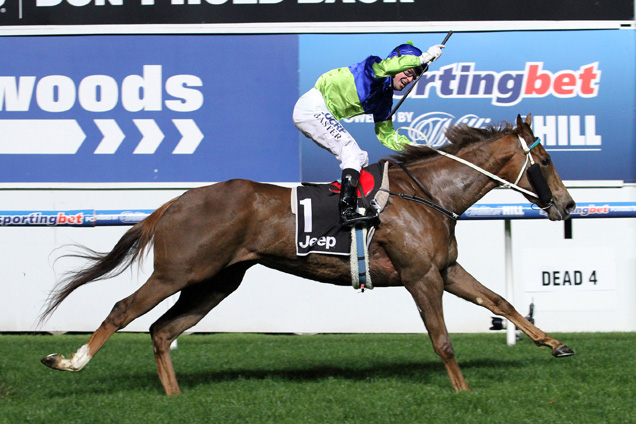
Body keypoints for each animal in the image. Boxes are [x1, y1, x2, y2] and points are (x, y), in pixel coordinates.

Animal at [39, 113, 576, 394]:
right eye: (546, 160)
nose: (569, 206)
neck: (429, 193)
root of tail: (173, 202)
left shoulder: (444, 268)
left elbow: (500, 301)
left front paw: (555, 344)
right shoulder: (420, 275)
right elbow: (442, 340)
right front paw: (462, 393)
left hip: (215, 281)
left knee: (162, 330)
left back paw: (173, 398)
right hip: (179, 272)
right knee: (123, 310)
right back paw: (69, 362)